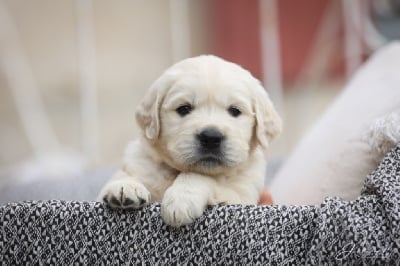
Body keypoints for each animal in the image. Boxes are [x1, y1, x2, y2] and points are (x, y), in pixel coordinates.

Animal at [97, 55, 282, 225]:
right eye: (184, 108)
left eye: (235, 111)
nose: (211, 137)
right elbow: (127, 175)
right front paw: (124, 186)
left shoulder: (239, 195)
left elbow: (200, 176)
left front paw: (181, 199)